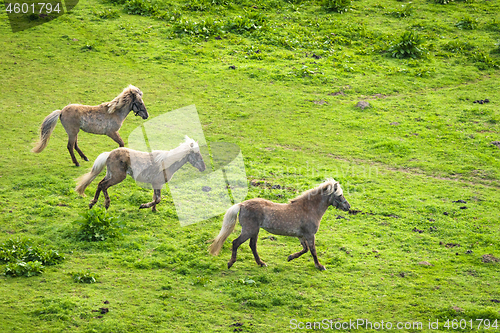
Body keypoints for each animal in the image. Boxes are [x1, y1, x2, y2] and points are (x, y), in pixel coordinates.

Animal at [73, 136, 205, 211]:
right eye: (197, 154)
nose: (203, 168)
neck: (166, 162)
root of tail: (109, 154)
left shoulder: (157, 184)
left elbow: (156, 197)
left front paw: (154, 210)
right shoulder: (157, 183)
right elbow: (158, 199)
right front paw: (143, 206)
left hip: (110, 174)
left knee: (100, 184)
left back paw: (92, 203)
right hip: (118, 177)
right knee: (104, 186)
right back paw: (106, 204)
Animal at [210, 179, 352, 270]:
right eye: (340, 195)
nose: (348, 207)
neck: (308, 209)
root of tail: (242, 204)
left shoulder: (301, 236)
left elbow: (305, 249)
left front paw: (290, 257)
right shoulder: (310, 235)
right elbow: (313, 251)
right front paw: (320, 266)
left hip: (254, 231)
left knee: (252, 246)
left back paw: (261, 263)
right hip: (249, 230)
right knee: (236, 243)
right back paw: (230, 263)